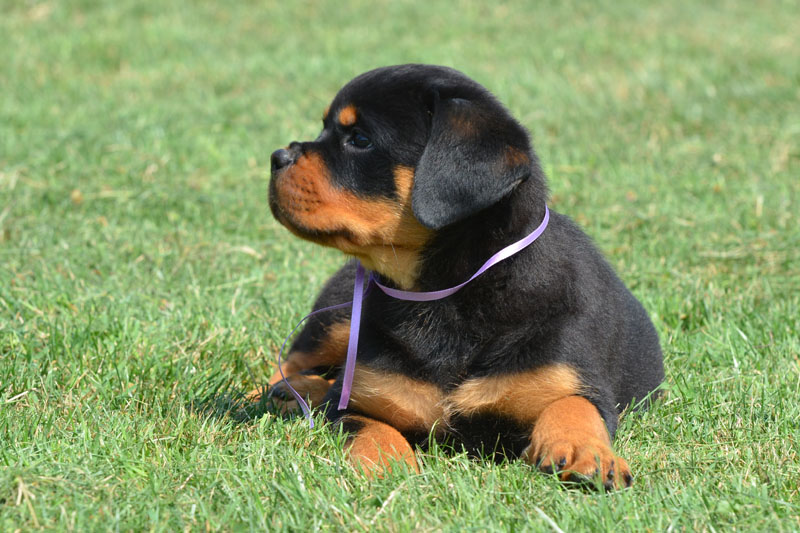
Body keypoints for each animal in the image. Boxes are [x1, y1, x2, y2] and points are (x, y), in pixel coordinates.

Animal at [260, 62, 664, 486]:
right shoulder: (357, 398)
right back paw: (287, 391)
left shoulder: (570, 376)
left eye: (360, 139)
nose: (277, 156)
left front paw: (585, 452)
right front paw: (388, 464)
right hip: (336, 319)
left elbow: (574, 405)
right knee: (290, 364)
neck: (444, 293)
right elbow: (371, 427)